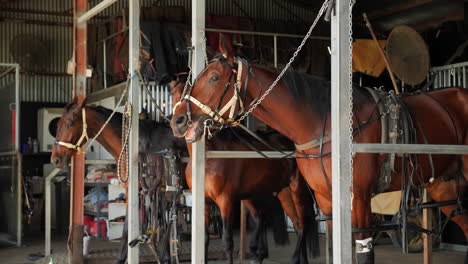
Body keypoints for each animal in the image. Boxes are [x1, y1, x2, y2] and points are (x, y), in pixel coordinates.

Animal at [50, 97, 318, 264]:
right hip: (261, 192)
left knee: (297, 222)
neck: (136, 147)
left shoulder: (155, 193)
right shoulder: (142, 194)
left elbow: (148, 229)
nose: (56, 159)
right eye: (58, 124)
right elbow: (136, 228)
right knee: (275, 221)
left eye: (70, 123)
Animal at [171, 35, 468, 264]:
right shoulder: (327, 200)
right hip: (443, 185)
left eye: (214, 77)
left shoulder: (360, 199)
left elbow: (363, 252)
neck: (325, 125)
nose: (178, 120)